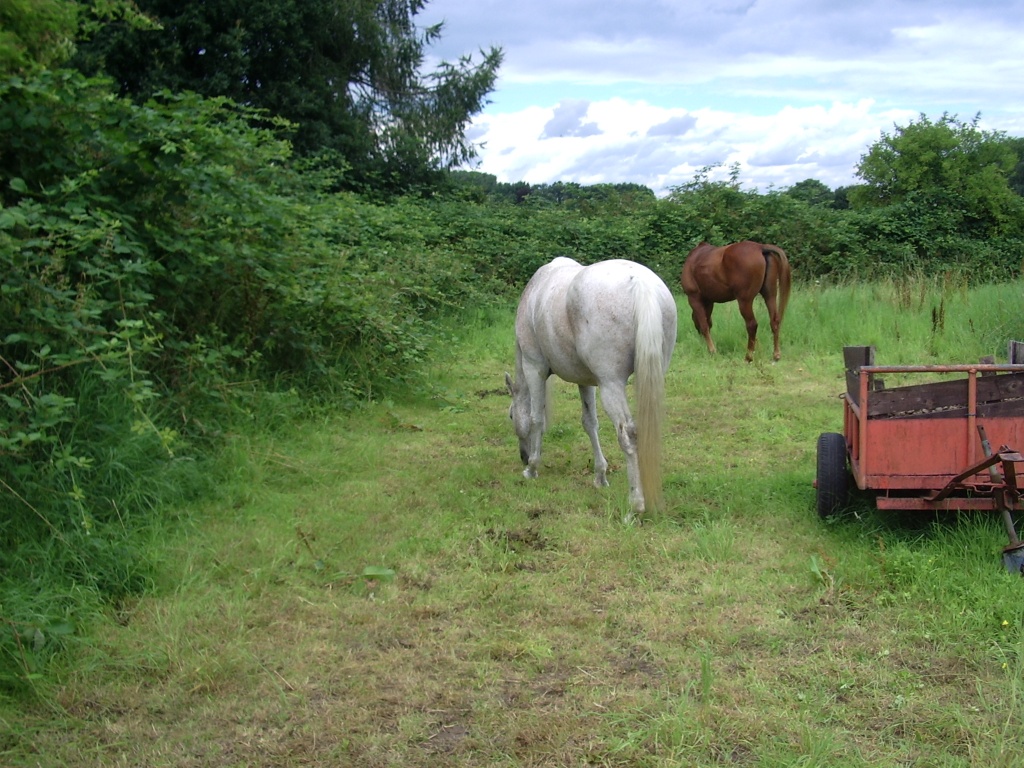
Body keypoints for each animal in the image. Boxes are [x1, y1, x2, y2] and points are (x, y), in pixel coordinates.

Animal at [505, 257, 677, 522]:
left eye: (511, 415)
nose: (522, 457)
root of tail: (640, 284)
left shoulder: (534, 368)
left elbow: (536, 419)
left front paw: (532, 468)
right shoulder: (585, 381)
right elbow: (590, 423)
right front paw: (600, 476)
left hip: (610, 385)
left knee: (628, 435)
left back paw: (635, 507)